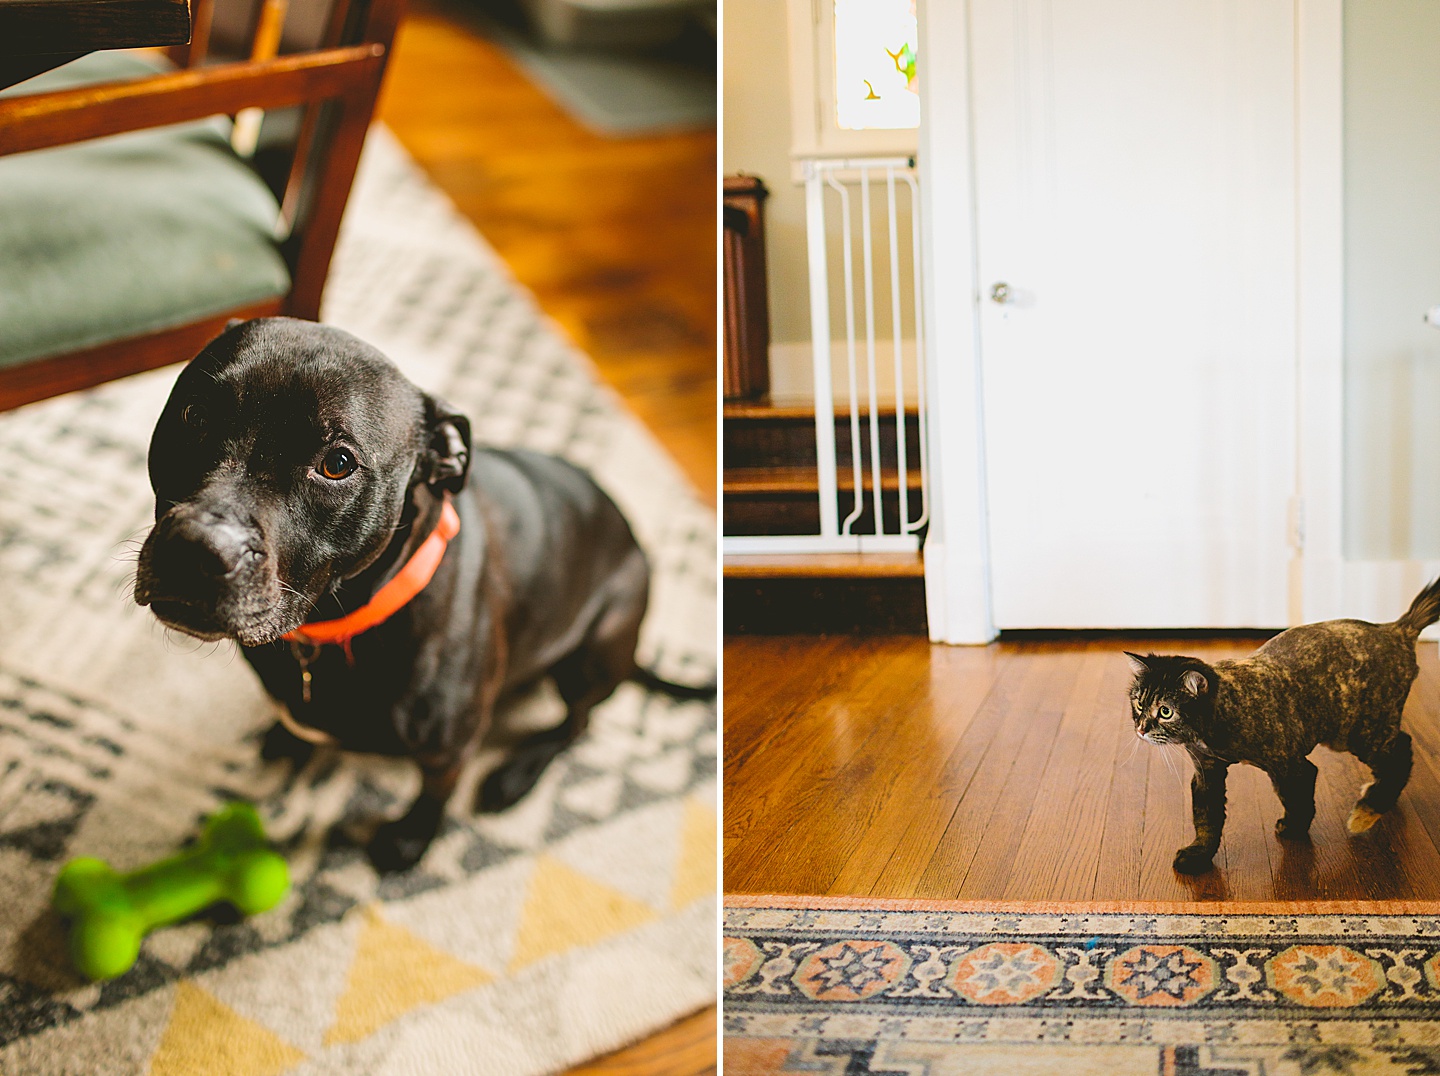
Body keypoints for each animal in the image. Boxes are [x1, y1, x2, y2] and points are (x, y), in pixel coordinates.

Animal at [132, 315, 705, 870]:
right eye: (195, 415)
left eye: (337, 463)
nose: (198, 546)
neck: (335, 628)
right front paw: (288, 737)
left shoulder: (449, 750)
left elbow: (435, 794)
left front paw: (410, 839)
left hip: (595, 650)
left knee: (577, 722)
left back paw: (516, 776)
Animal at [1123, 581, 1440, 875]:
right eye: (1138, 702)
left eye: (1166, 711)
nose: (1141, 728)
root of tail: (1397, 629)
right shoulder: (1206, 773)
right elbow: (1206, 819)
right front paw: (1199, 856)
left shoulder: (1292, 766)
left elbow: (1297, 800)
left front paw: (1294, 830)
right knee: (1400, 745)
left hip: (1359, 732)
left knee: (1401, 751)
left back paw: (1367, 811)